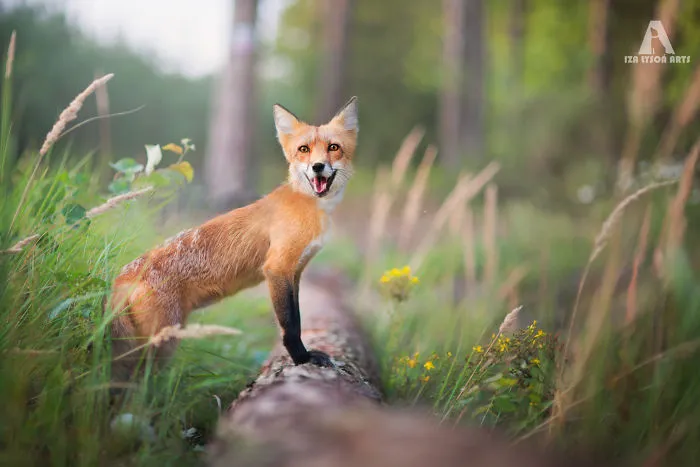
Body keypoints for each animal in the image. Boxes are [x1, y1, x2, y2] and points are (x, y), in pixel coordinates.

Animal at [107, 97, 358, 382]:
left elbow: (298, 317)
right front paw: (302, 359)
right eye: (303, 149)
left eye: (333, 148)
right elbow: (291, 326)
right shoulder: (277, 269)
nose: (318, 167)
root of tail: (123, 275)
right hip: (162, 342)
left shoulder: (294, 273)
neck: (309, 206)